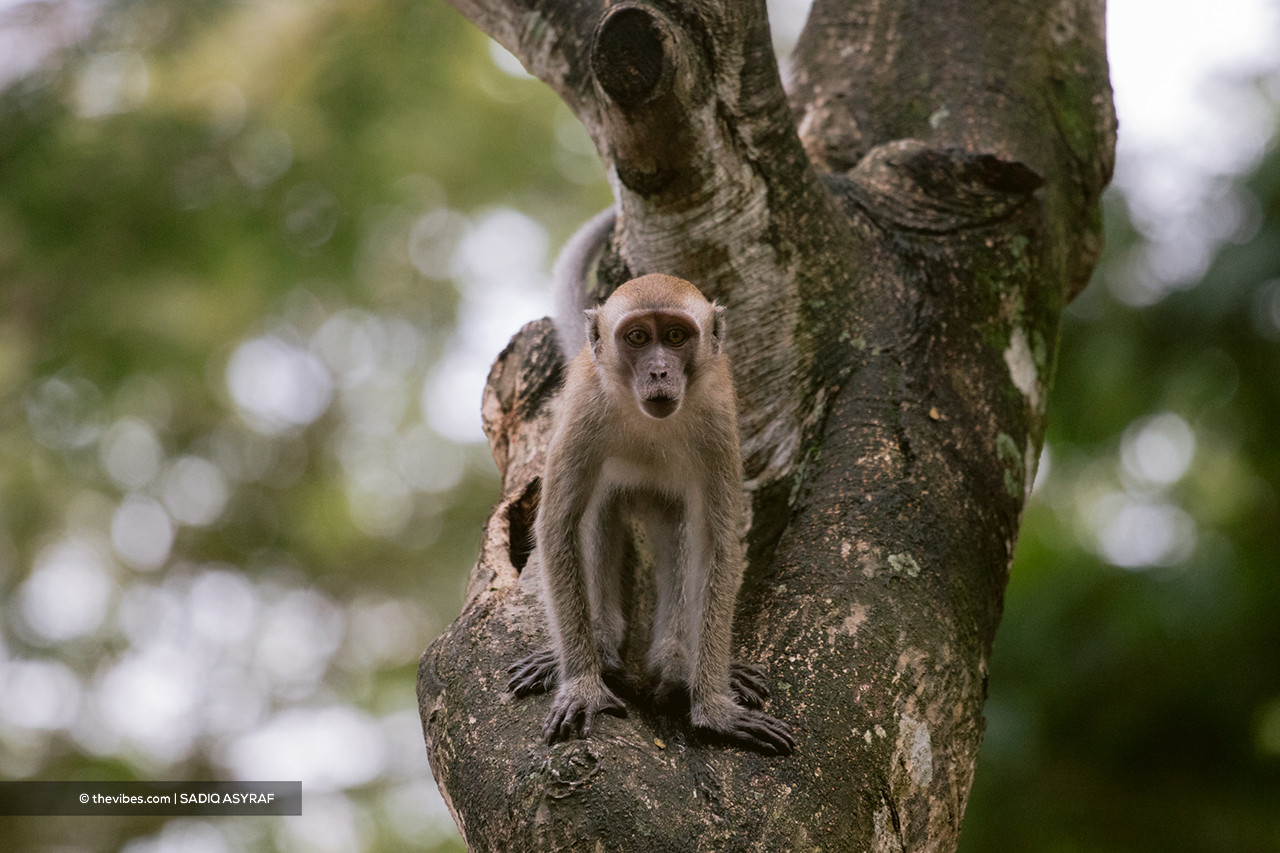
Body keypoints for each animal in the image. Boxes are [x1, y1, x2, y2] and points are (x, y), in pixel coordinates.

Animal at [507, 269, 794, 755]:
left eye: (676, 336)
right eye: (638, 337)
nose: (659, 370)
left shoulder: (718, 417)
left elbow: (716, 543)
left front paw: (714, 708)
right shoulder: (584, 408)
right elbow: (559, 525)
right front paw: (582, 684)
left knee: (681, 528)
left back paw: (678, 665)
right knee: (596, 513)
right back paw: (600, 647)